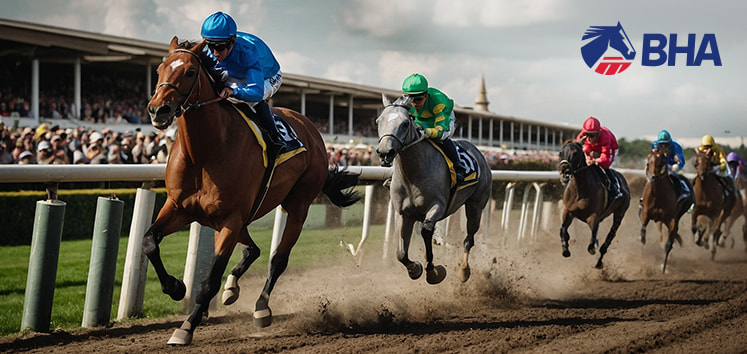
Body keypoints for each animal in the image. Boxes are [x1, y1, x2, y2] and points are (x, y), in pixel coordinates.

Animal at [145, 38, 360, 346]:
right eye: (159, 70)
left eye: (189, 72)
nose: (157, 110)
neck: (205, 152)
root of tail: (311, 129)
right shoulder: (179, 207)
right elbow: (149, 242)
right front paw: (175, 287)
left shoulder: (230, 219)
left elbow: (210, 279)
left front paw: (185, 327)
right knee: (253, 249)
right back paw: (232, 289)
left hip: (297, 205)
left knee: (277, 260)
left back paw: (261, 308)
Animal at [376, 92, 494, 284]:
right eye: (378, 121)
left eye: (405, 123)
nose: (385, 153)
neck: (412, 175)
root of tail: (478, 152)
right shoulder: (403, 214)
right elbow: (401, 253)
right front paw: (414, 269)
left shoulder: (437, 207)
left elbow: (426, 231)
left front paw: (432, 270)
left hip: (476, 206)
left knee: (469, 240)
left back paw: (464, 270)